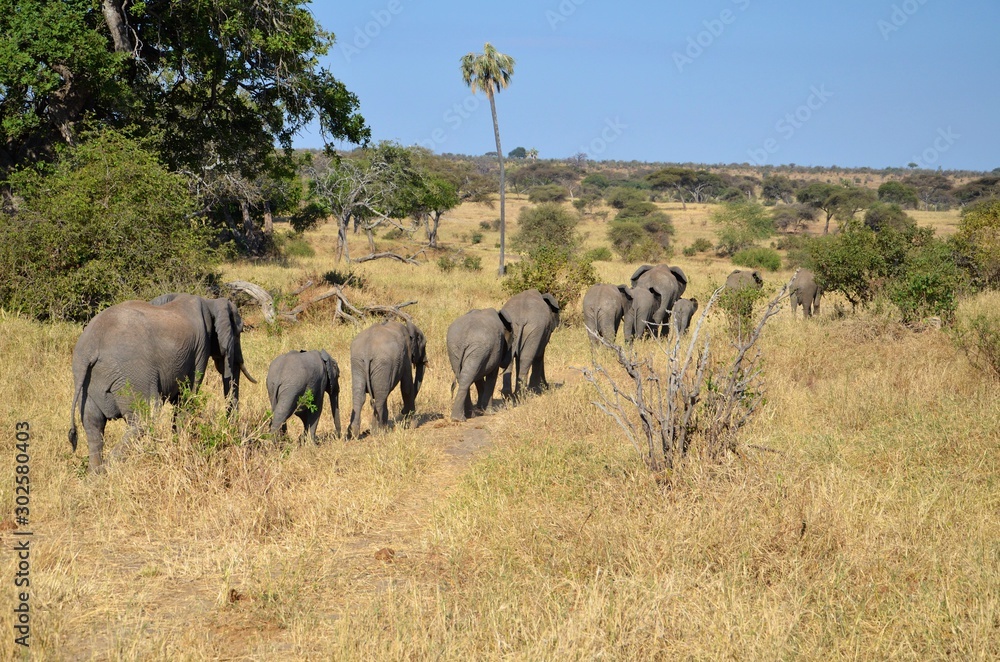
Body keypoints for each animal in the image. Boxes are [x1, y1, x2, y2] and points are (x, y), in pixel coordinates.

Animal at [68, 293, 256, 473]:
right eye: (240, 331)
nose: (234, 435)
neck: (210, 301)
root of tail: (90, 349)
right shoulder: (200, 349)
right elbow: (186, 399)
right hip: (133, 374)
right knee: (144, 419)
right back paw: (107, 471)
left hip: (87, 382)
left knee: (93, 426)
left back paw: (94, 476)